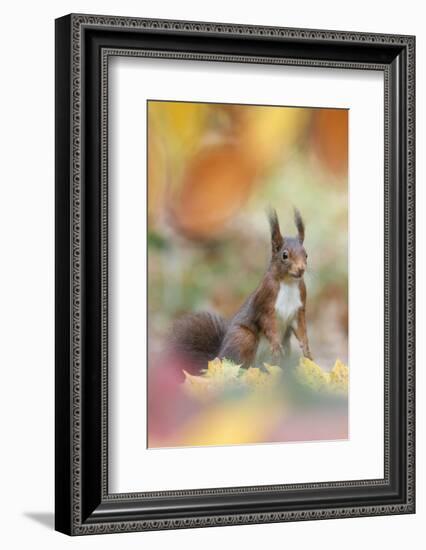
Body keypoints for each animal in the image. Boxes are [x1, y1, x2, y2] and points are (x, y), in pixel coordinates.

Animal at [171, 208, 312, 370]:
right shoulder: (265, 301)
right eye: (285, 255)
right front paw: (276, 345)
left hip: (284, 347)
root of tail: (217, 358)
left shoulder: (299, 308)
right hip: (244, 338)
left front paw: (307, 350)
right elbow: (267, 323)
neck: (288, 283)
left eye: (306, 254)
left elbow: (301, 328)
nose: (301, 269)